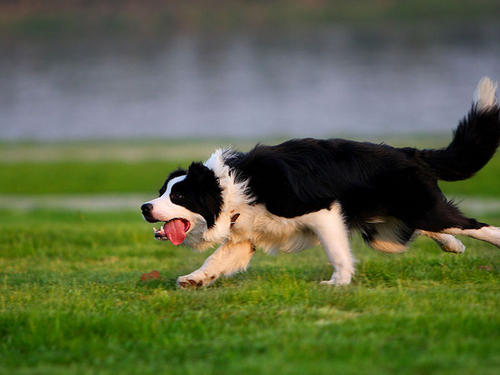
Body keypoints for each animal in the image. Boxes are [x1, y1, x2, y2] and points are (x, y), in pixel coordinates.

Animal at [141, 77, 500, 288]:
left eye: (180, 195)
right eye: (162, 192)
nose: (144, 208)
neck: (230, 190)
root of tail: (412, 153)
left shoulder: (321, 210)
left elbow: (336, 250)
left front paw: (338, 283)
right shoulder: (245, 235)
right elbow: (216, 259)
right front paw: (194, 279)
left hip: (419, 209)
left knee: (474, 224)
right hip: (387, 232)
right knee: (423, 229)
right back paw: (452, 245)